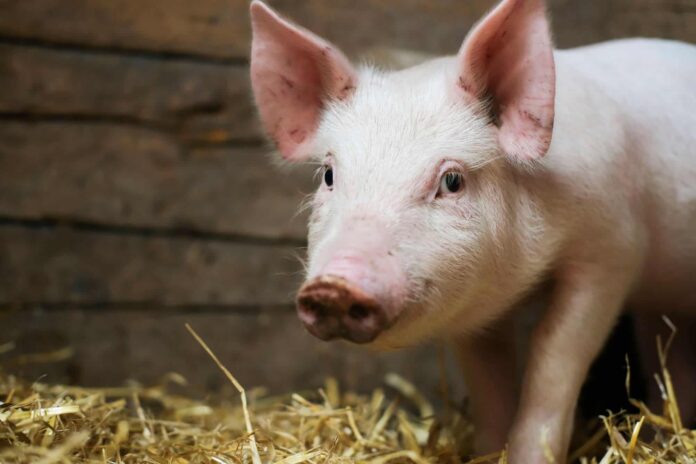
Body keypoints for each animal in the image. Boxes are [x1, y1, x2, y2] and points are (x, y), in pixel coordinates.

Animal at [248, 0, 696, 462]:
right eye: (329, 175)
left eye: (452, 181)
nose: (334, 286)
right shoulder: (473, 312)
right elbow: (488, 380)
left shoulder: (613, 249)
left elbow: (553, 353)